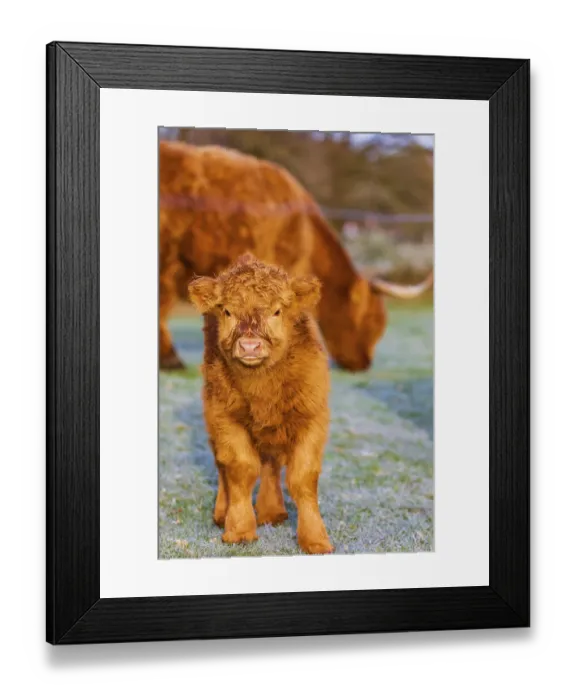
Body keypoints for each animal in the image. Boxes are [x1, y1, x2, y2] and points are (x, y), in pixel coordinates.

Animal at [188, 253, 333, 554]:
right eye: (227, 311)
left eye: (277, 311)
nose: (250, 346)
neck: (262, 390)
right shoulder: (225, 418)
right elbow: (240, 468)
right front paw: (239, 529)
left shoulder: (312, 416)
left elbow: (303, 477)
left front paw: (315, 539)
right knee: (222, 466)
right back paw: (222, 512)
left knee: (270, 462)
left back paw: (271, 511)